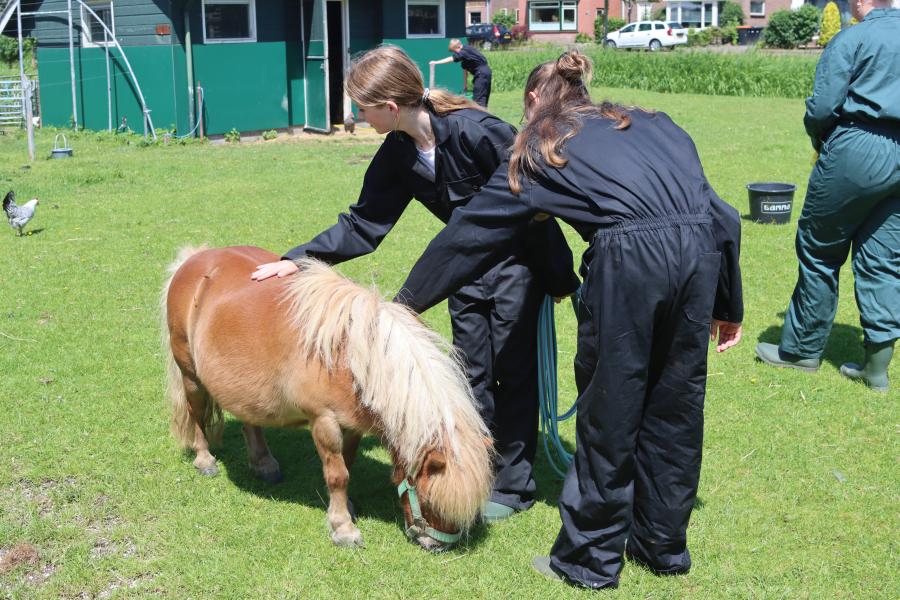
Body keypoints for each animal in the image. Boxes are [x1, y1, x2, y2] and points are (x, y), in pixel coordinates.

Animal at [165, 246, 496, 552]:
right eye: (429, 499)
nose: (436, 545)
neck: (350, 358)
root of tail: (196, 258)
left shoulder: (352, 425)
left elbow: (347, 464)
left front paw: (345, 508)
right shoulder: (324, 420)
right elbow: (338, 475)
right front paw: (343, 529)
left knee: (250, 419)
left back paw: (264, 463)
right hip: (190, 375)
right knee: (195, 413)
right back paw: (204, 459)